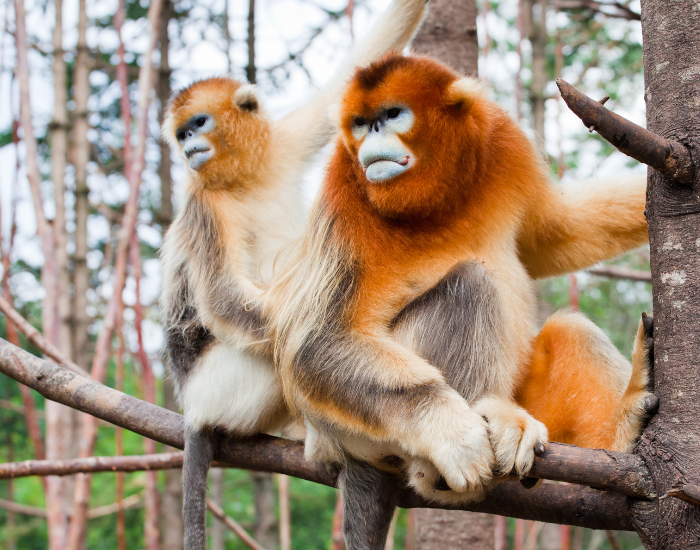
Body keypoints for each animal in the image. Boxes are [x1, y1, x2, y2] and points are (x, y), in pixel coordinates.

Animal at [159, 3, 430, 547]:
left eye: (197, 124)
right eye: (181, 134)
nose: (190, 147)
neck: (242, 180)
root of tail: (189, 408)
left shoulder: (282, 144)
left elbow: (349, 73)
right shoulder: (204, 207)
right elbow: (224, 299)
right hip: (216, 389)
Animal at [263, 53, 652, 549]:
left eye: (392, 115)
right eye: (361, 123)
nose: (371, 136)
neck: (434, 198)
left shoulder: (502, 141)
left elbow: (555, 234)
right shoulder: (344, 191)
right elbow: (316, 342)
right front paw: (453, 433)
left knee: (572, 330)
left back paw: (623, 432)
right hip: (355, 428)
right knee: (470, 284)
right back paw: (457, 455)